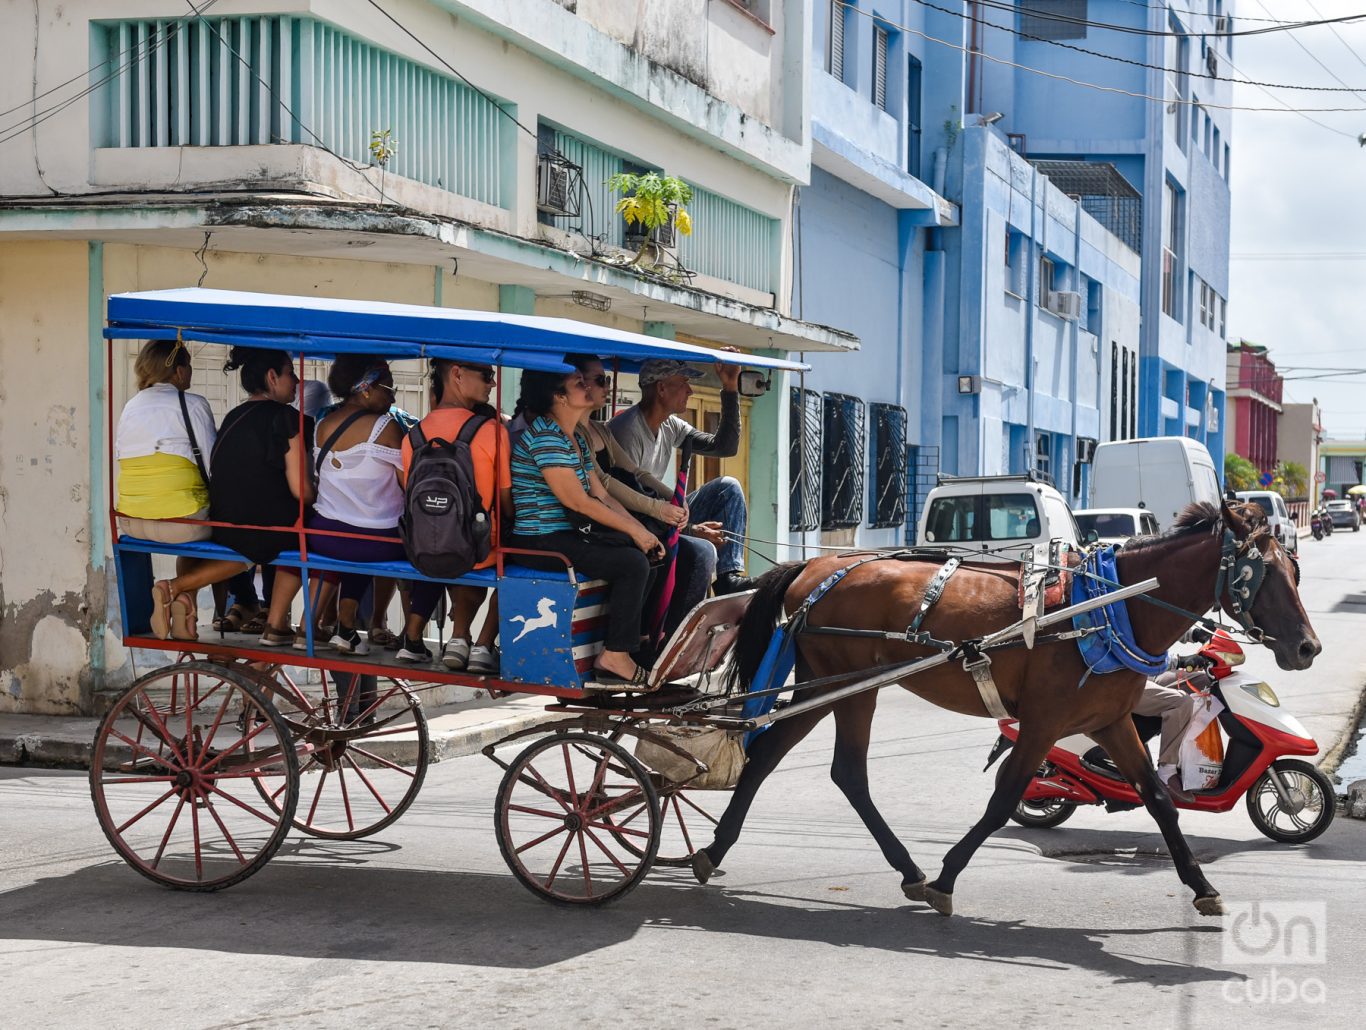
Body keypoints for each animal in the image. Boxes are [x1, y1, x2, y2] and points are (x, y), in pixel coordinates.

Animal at [699, 502, 1316, 912]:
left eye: (1296, 570)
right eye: (1261, 575)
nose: (1308, 647)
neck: (1108, 606)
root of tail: (815, 568)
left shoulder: (1111, 722)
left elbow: (1160, 801)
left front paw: (1202, 886)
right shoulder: (1043, 724)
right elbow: (1003, 802)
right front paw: (947, 879)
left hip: (841, 685)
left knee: (802, 762)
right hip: (839, 681)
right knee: (807, 763)